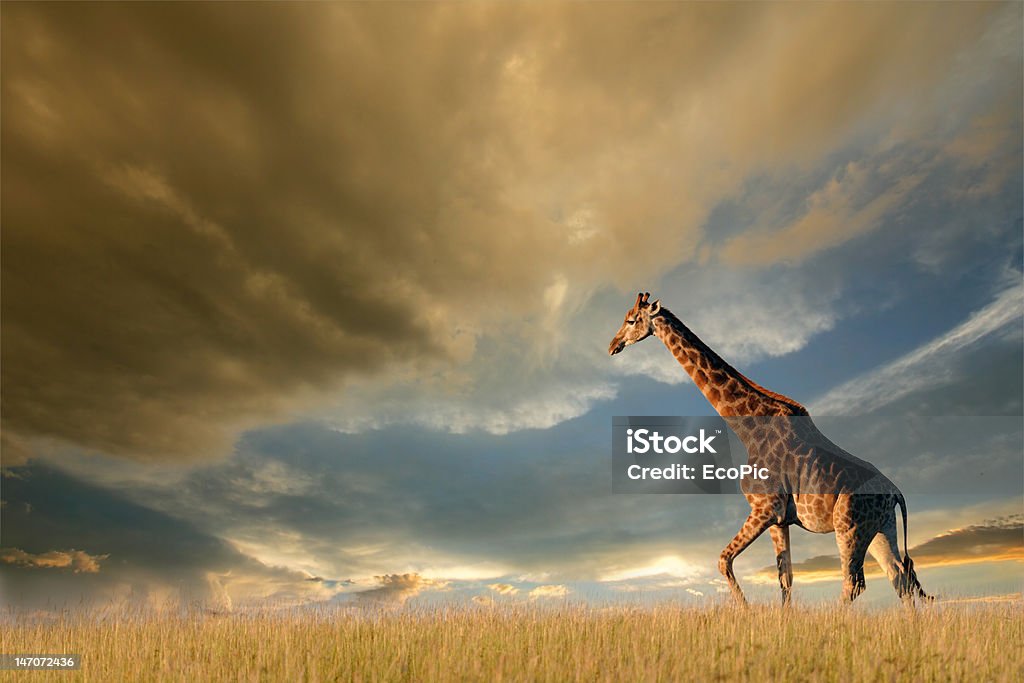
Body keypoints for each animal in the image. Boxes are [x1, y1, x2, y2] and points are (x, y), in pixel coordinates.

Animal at [606, 290, 937, 606]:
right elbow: (785, 579)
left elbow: (724, 560)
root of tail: (894, 491)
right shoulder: (780, 519)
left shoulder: (765, 507)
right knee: (900, 576)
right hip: (881, 527)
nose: (612, 345)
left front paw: (747, 611)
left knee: (856, 582)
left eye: (632, 320)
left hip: (849, 527)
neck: (749, 429)